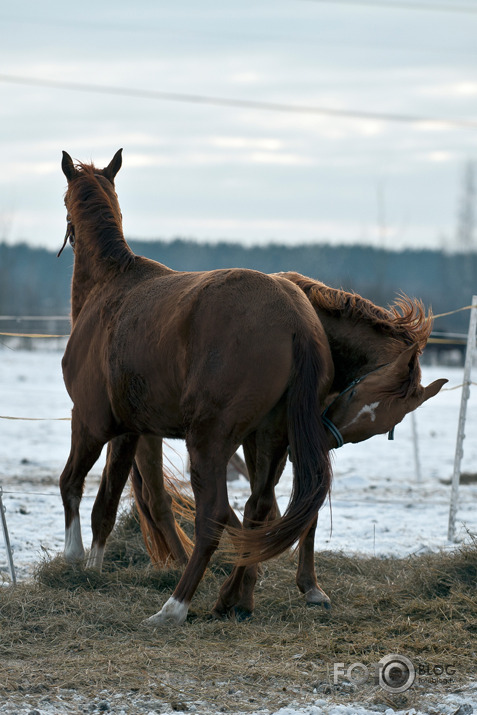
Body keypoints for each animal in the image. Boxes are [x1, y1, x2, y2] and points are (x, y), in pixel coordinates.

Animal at [58, 150, 342, 628]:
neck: (109, 288)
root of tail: (296, 316)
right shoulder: (129, 432)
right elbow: (106, 504)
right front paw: (93, 566)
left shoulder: (90, 423)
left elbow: (71, 485)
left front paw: (73, 559)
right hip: (268, 441)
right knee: (256, 510)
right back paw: (232, 600)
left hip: (209, 440)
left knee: (214, 517)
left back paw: (174, 608)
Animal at [128, 276, 444, 620]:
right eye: (354, 393)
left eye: (384, 426)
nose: (326, 435)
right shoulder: (265, 439)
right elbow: (264, 506)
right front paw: (242, 590)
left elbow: (292, 509)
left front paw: (305, 587)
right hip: (152, 437)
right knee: (158, 499)